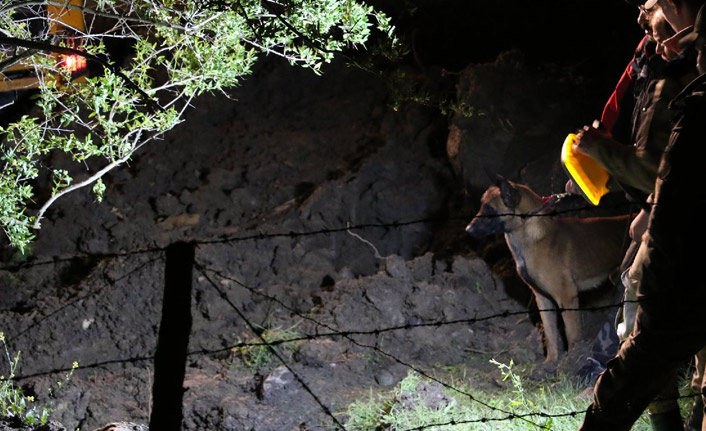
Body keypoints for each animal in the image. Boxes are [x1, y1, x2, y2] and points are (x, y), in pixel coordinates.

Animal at [464, 176, 624, 364]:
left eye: (490, 209)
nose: (467, 230)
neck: (535, 236)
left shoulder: (567, 298)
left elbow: (571, 334)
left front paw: (572, 359)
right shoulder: (543, 299)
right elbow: (550, 334)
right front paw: (550, 363)